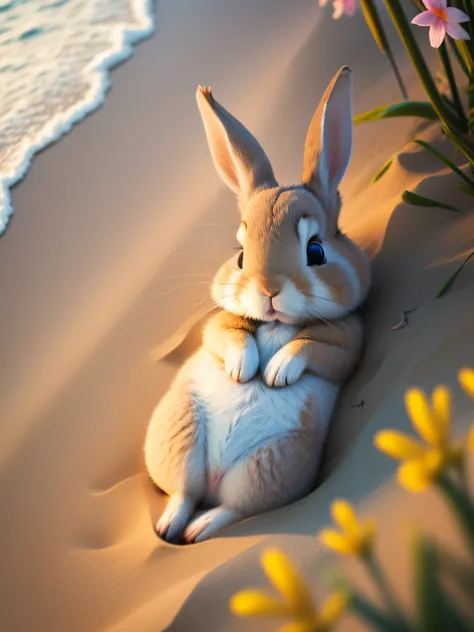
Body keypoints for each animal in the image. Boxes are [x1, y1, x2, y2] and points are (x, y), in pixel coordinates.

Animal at [144, 66, 370, 544]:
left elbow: (313, 348)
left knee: (231, 508)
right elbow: (228, 336)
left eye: (316, 251)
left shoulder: (347, 341)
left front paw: (275, 372)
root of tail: (214, 480)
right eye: (241, 256)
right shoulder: (220, 326)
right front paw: (243, 369)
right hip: (182, 433)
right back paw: (172, 526)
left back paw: (195, 530)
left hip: (272, 462)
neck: (274, 324)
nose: (268, 290)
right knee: (185, 494)